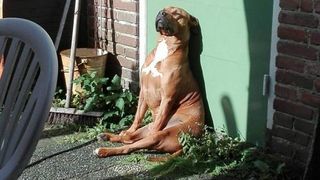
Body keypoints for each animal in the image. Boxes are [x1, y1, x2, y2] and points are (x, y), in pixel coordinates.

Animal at [94, 6, 205, 158]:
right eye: (165, 9)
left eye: (177, 13)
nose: (161, 12)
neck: (165, 46)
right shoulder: (143, 92)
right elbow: (137, 116)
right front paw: (128, 129)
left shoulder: (167, 98)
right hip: (146, 128)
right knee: (129, 138)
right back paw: (111, 135)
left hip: (159, 135)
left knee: (130, 146)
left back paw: (104, 150)